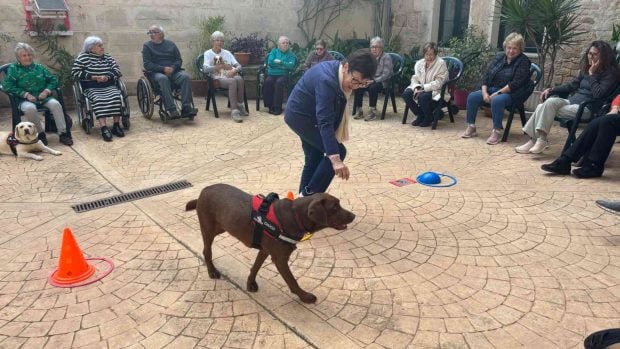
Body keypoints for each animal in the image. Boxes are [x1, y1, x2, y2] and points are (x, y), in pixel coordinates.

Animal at [185, 182, 354, 302]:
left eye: (339, 204)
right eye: (334, 207)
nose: (353, 216)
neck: (295, 216)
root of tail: (203, 191)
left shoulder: (265, 250)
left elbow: (255, 267)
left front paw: (250, 283)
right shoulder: (280, 259)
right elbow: (292, 281)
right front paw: (304, 296)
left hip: (222, 227)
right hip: (209, 229)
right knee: (206, 250)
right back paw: (212, 271)